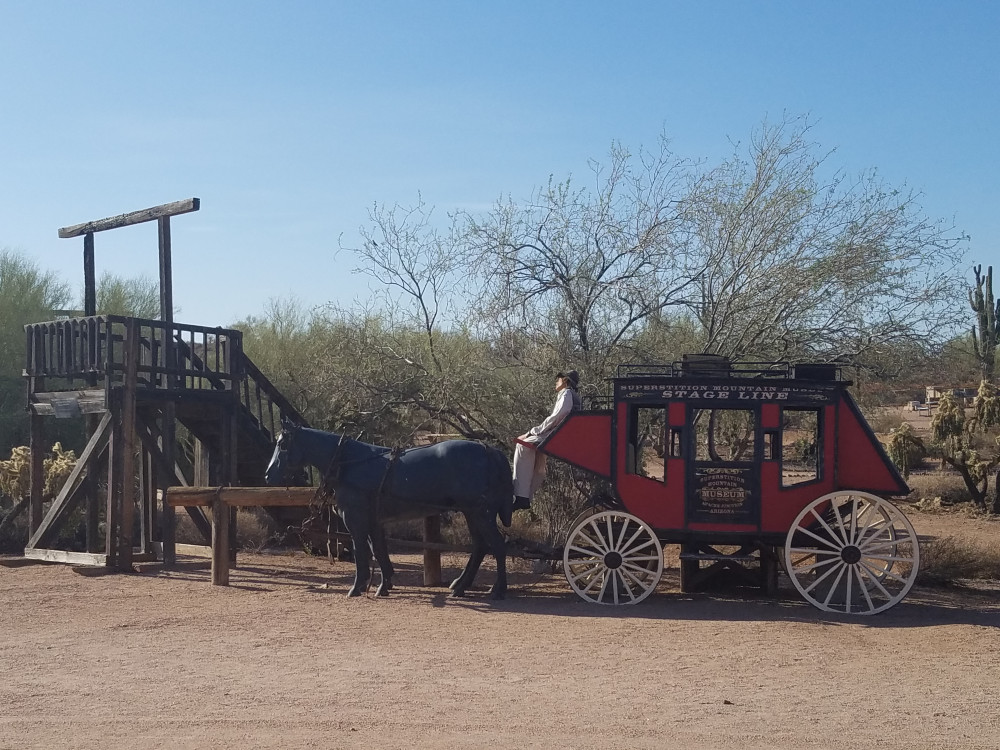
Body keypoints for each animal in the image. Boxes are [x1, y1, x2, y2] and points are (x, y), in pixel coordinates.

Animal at [262, 426, 512, 604]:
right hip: (473, 513)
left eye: (282, 444)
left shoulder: (355, 519)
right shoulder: (374, 521)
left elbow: (361, 552)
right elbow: (379, 551)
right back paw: (460, 586)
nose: (267, 475)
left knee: (498, 546)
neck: (349, 463)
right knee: (480, 547)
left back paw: (498, 589)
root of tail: (490, 451)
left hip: (480, 513)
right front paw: (384, 585)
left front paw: (357, 587)